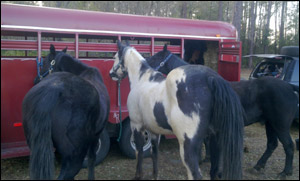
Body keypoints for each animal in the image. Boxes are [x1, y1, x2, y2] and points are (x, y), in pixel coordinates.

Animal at [22, 44, 110, 179]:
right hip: (75, 156)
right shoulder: (95, 135)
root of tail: (52, 90)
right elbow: (91, 160)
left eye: (46, 61)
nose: (36, 79)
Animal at [109, 41, 245, 180]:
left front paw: (138, 175)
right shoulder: (154, 130)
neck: (141, 80)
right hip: (215, 141)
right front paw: (155, 175)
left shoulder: (136, 125)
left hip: (187, 146)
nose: (111, 74)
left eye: (115, 57)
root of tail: (211, 78)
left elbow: (139, 152)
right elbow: (154, 154)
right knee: (214, 171)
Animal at [146, 44, 298, 178]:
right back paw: (258, 166)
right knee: (272, 144)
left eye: (156, 57)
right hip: (270, 124)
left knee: (289, 145)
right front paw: (206, 158)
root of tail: (289, 87)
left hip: (280, 125)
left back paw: (285, 172)